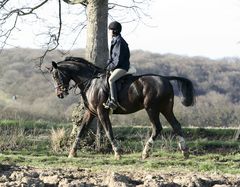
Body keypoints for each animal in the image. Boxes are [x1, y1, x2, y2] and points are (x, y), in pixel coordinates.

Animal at [48, 56, 195, 159]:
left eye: (55, 75)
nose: (60, 94)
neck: (91, 81)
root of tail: (165, 79)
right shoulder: (90, 113)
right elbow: (81, 130)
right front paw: (72, 153)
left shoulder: (101, 112)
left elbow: (108, 131)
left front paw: (117, 153)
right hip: (166, 109)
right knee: (176, 125)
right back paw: (185, 151)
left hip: (152, 109)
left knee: (157, 128)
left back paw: (145, 152)